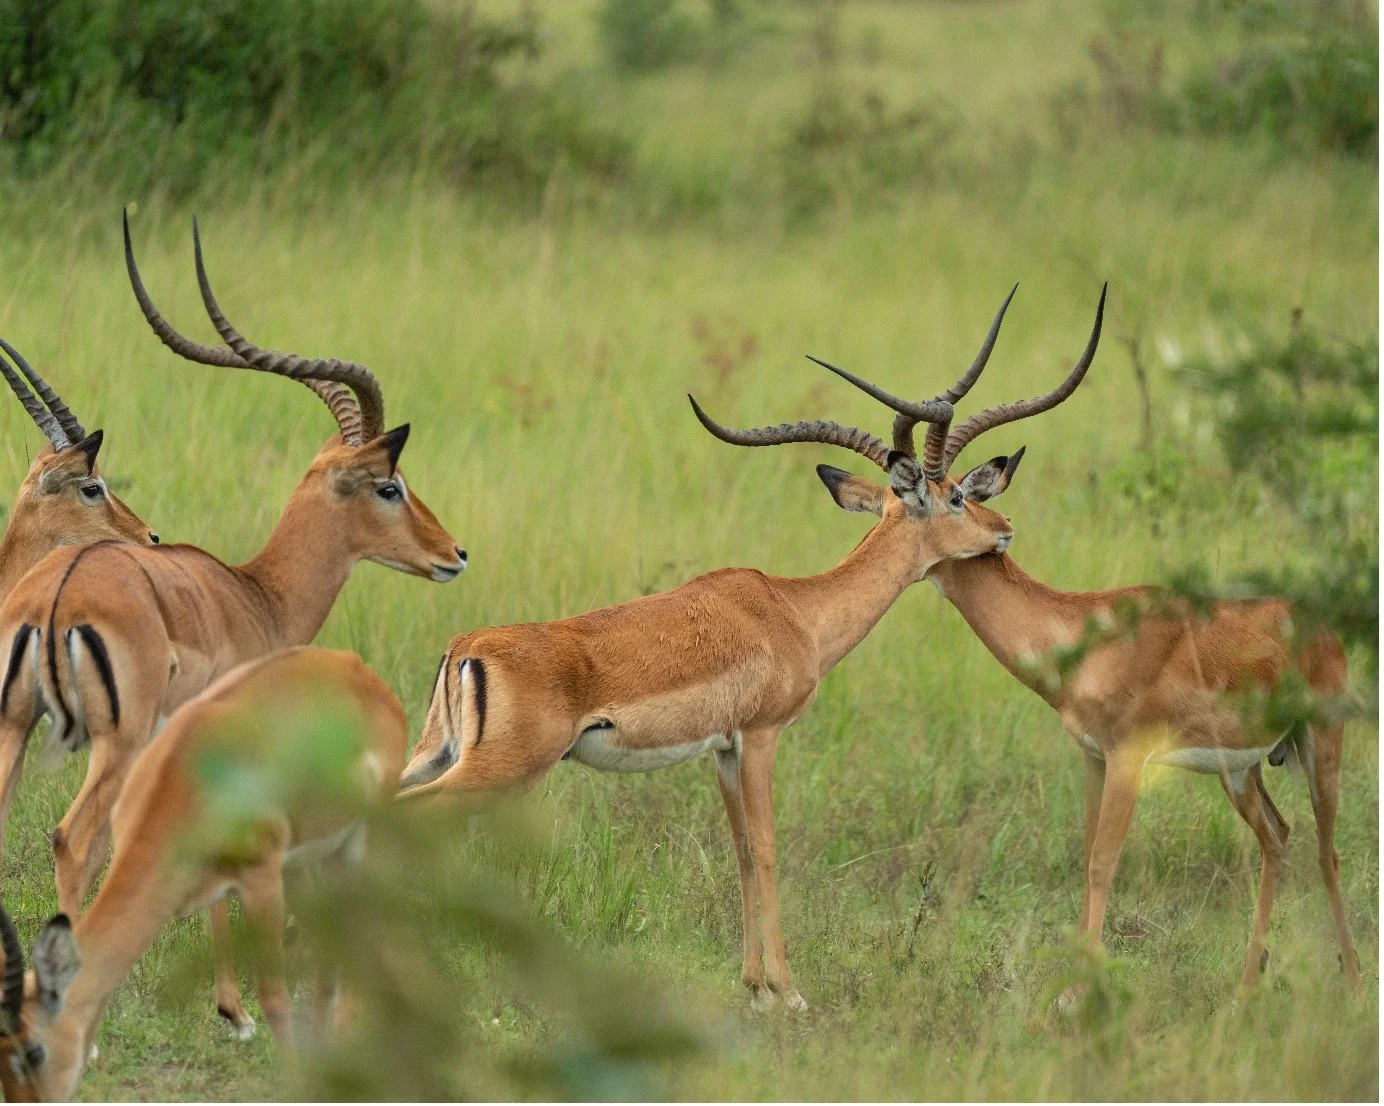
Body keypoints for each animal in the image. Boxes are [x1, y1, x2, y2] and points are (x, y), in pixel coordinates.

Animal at [0, 646, 408, 1102]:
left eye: (34, 1051)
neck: (181, 785)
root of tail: (358, 671)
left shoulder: (261, 878)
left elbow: (273, 996)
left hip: (356, 845)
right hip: (308, 865)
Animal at [397, 288, 1105, 1010]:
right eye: (957, 495)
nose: (1004, 527)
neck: (796, 612)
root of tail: (467, 647)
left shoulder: (723, 750)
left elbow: (738, 852)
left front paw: (754, 986)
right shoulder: (762, 735)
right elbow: (766, 848)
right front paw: (789, 993)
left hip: (435, 756)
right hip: (500, 769)